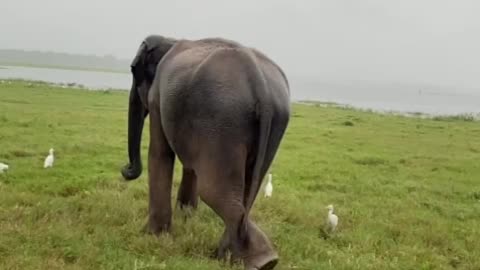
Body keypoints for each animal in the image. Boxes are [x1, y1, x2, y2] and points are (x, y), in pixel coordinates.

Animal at [122, 34, 290, 268]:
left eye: (133, 70)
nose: (126, 169)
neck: (170, 39)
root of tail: (261, 85)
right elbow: (190, 165)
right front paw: (186, 217)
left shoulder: (158, 99)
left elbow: (160, 153)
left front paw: (152, 235)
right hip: (273, 122)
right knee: (247, 193)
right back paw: (249, 258)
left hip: (222, 120)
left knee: (213, 191)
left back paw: (253, 260)